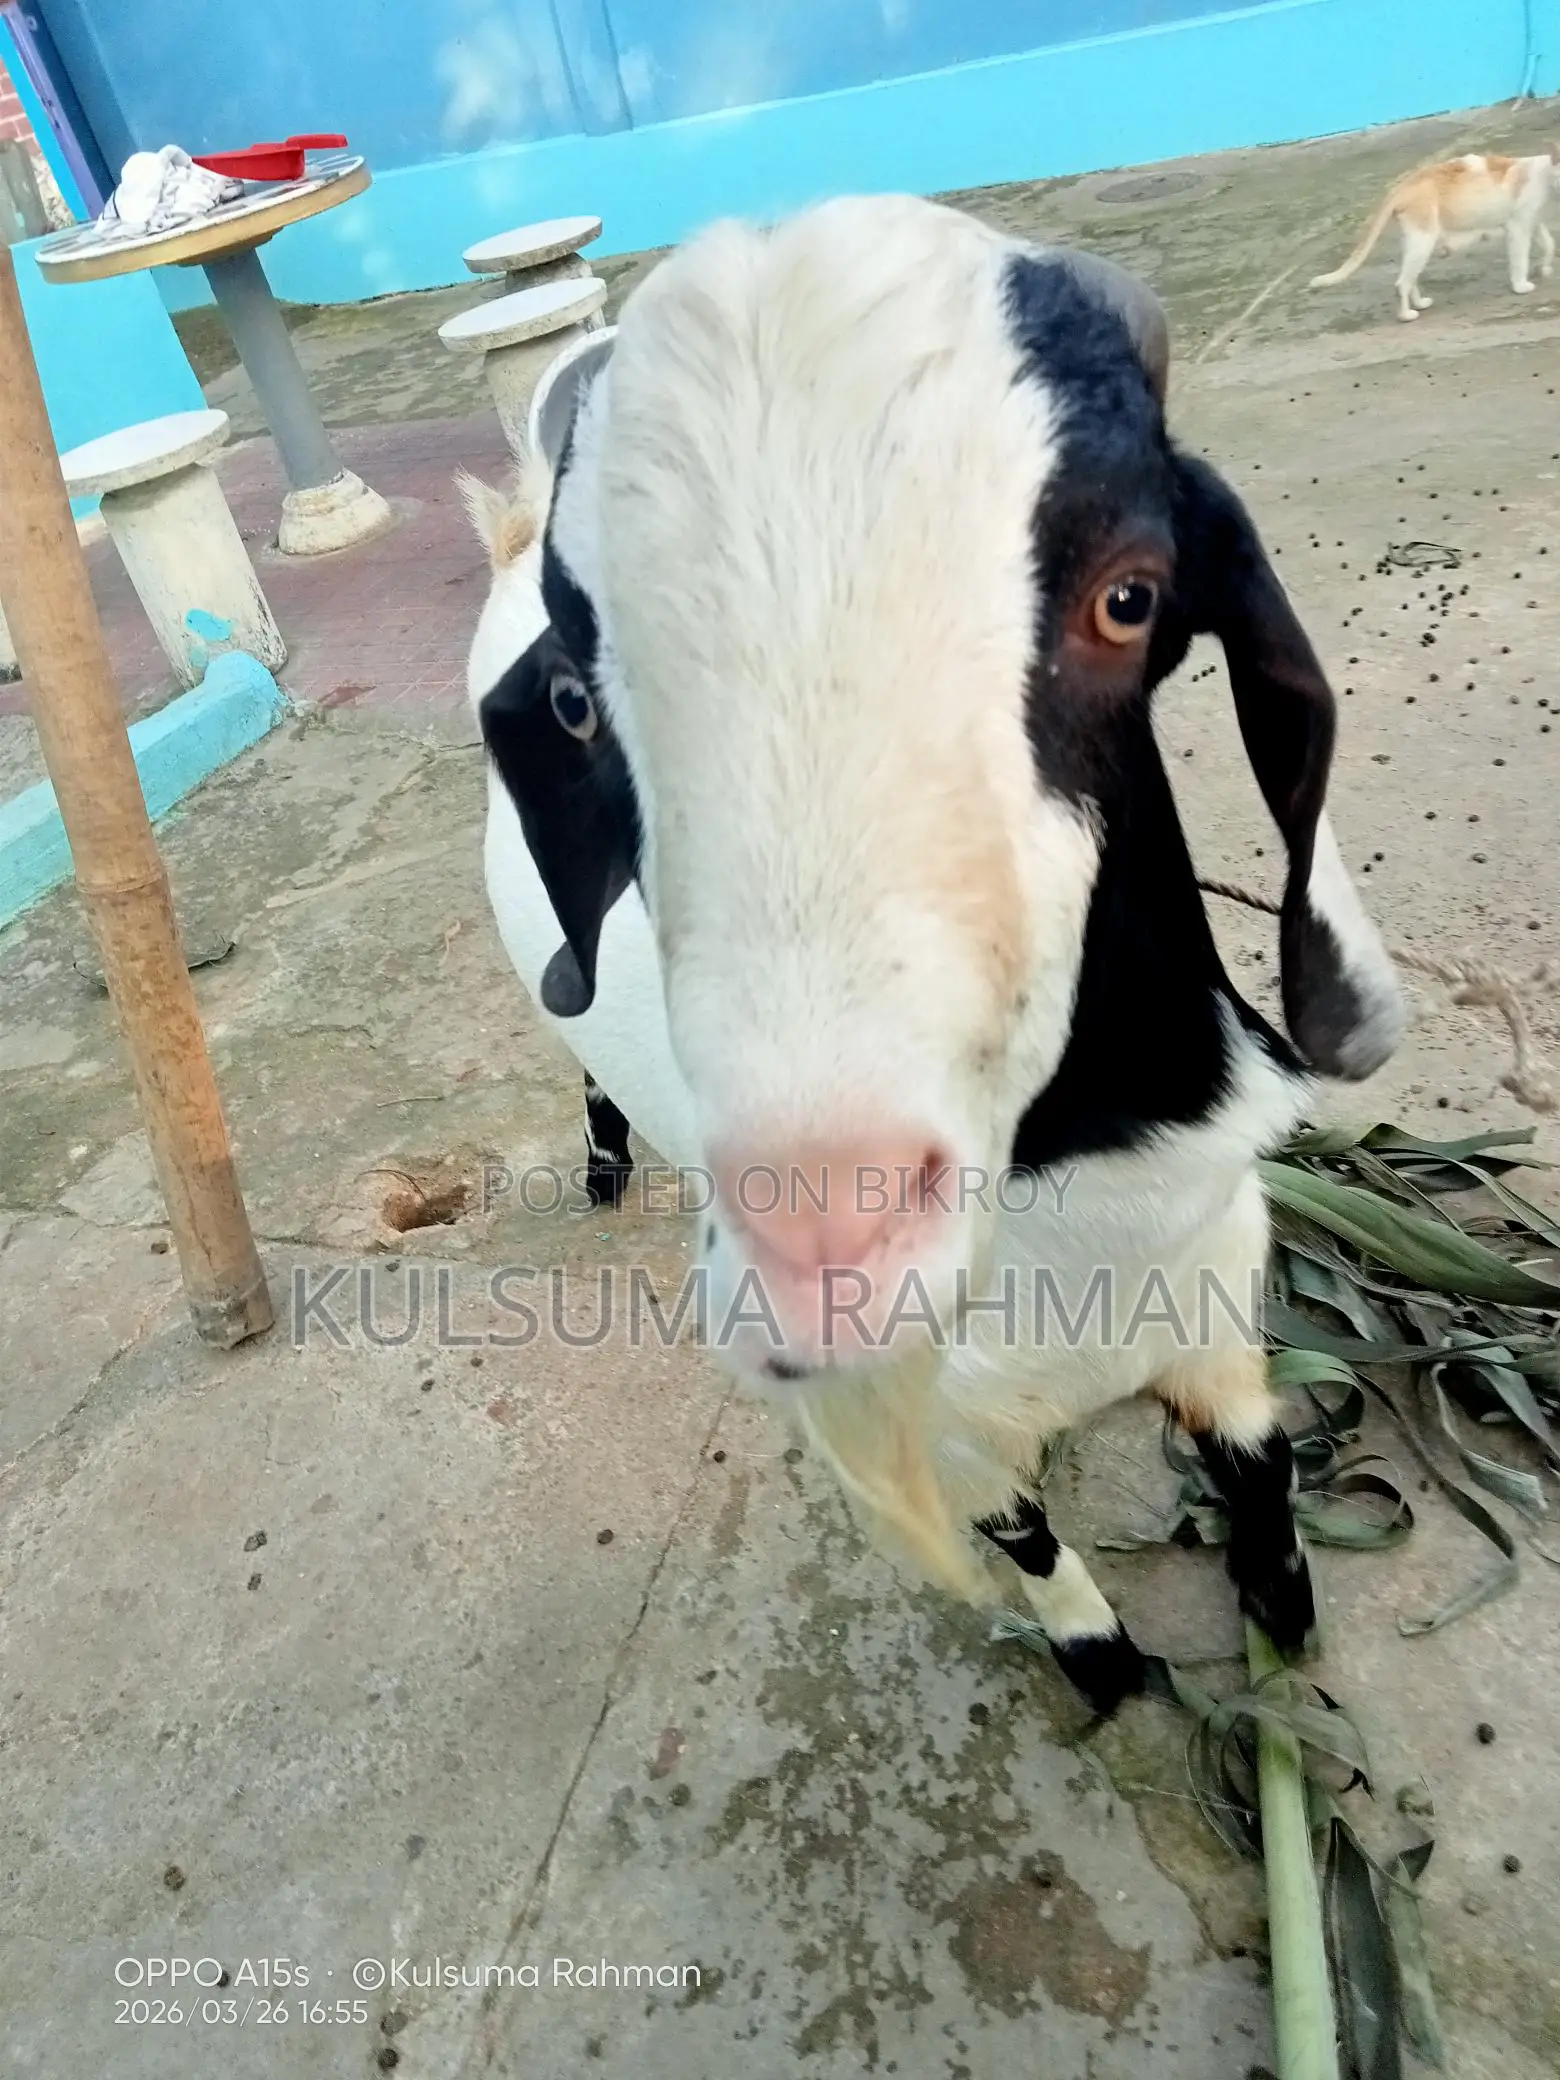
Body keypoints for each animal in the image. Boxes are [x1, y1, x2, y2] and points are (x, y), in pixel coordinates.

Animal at [465, 197, 1403, 1713]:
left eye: (1130, 597)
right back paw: (604, 1167)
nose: (825, 1231)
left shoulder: (1220, 1302)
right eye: (572, 699)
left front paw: (1285, 1633)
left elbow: (1261, 1471)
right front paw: (1108, 1668)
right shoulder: (954, 1432)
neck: (1086, 1198)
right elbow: (1028, 1546)